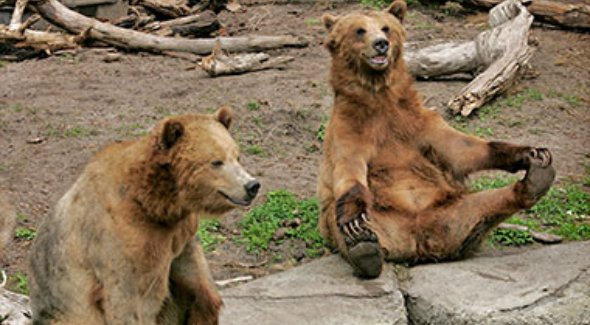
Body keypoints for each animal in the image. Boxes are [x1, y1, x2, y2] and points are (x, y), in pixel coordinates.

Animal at [29, 107, 262, 322]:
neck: (155, 202)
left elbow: (199, 285)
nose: (252, 185)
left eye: (237, 156)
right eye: (216, 161)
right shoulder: (121, 240)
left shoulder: (178, 235)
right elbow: (129, 302)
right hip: (66, 312)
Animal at [320, 0, 556, 278]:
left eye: (386, 28)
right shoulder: (352, 129)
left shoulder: (417, 124)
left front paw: (533, 153)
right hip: (380, 218)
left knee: (482, 205)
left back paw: (537, 179)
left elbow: (463, 149)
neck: (380, 99)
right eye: (359, 30)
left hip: (449, 211)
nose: (380, 43)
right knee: (347, 223)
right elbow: (349, 170)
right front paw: (354, 221)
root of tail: (417, 238)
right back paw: (363, 246)